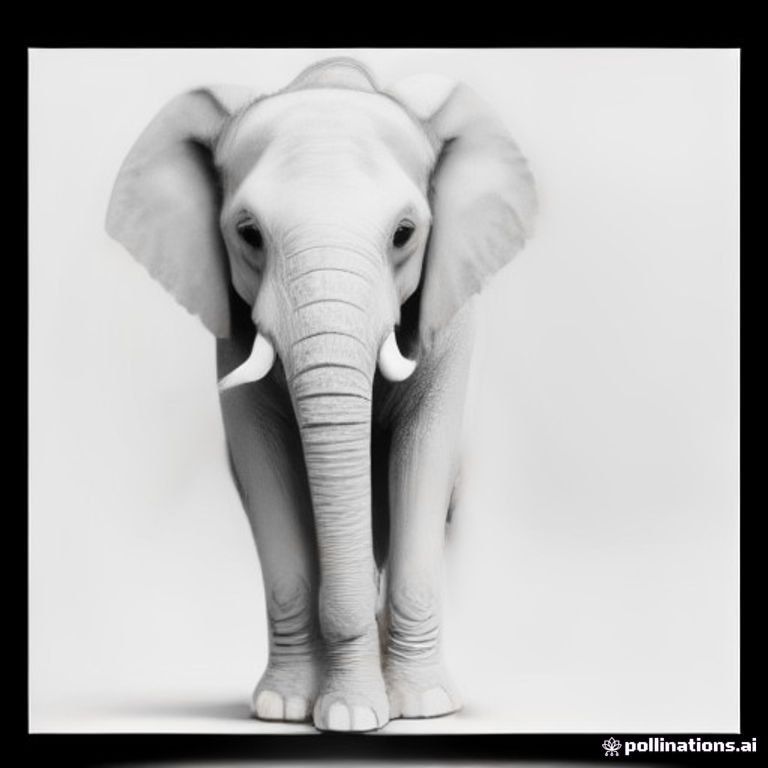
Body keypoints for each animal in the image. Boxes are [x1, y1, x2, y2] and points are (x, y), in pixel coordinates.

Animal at [106, 57, 537, 732]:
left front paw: (414, 708)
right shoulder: (231, 331)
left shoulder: (451, 319)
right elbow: (263, 462)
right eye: (249, 234)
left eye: (405, 234)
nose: (356, 715)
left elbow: (425, 453)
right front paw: (294, 710)